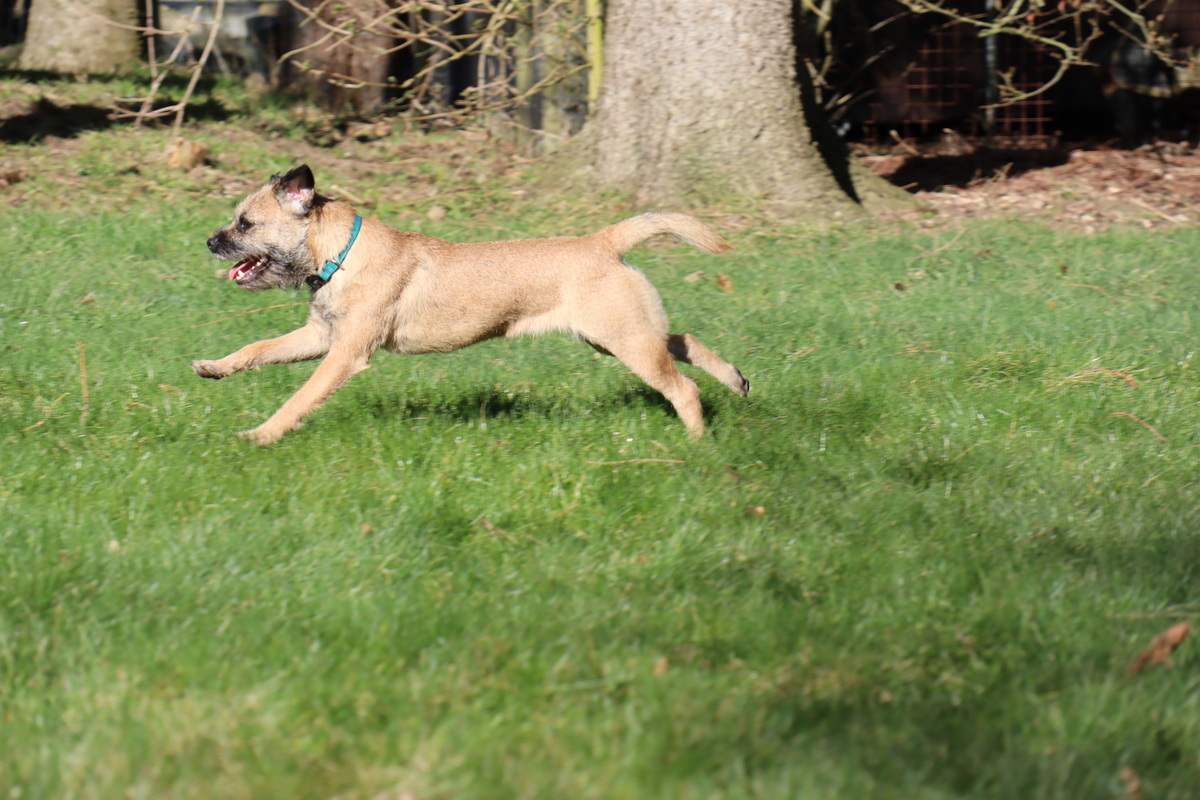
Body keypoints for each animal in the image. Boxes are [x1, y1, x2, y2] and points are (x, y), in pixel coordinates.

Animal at [193, 165, 749, 445]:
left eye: (245, 223)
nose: (210, 242)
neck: (342, 254)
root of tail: (601, 242)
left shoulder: (345, 353)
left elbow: (301, 397)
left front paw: (263, 434)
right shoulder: (321, 336)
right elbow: (258, 347)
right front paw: (216, 367)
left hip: (625, 340)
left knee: (682, 387)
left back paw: (698, 442)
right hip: (617, 335)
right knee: (682, 340)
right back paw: (735, 380)